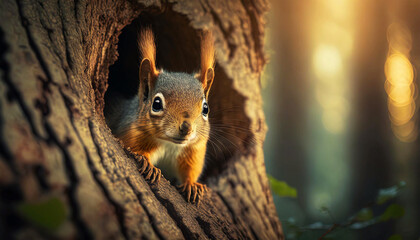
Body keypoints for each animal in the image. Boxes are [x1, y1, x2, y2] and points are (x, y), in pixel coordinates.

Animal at [106, 28, 215, 204]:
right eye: (156, 104)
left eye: (205, 108)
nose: (186, 127)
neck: (170, 144)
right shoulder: (131, 133)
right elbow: (136, 149)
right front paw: (147, 163)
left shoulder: (193, 152)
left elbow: (189, 171)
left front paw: (191, 185)